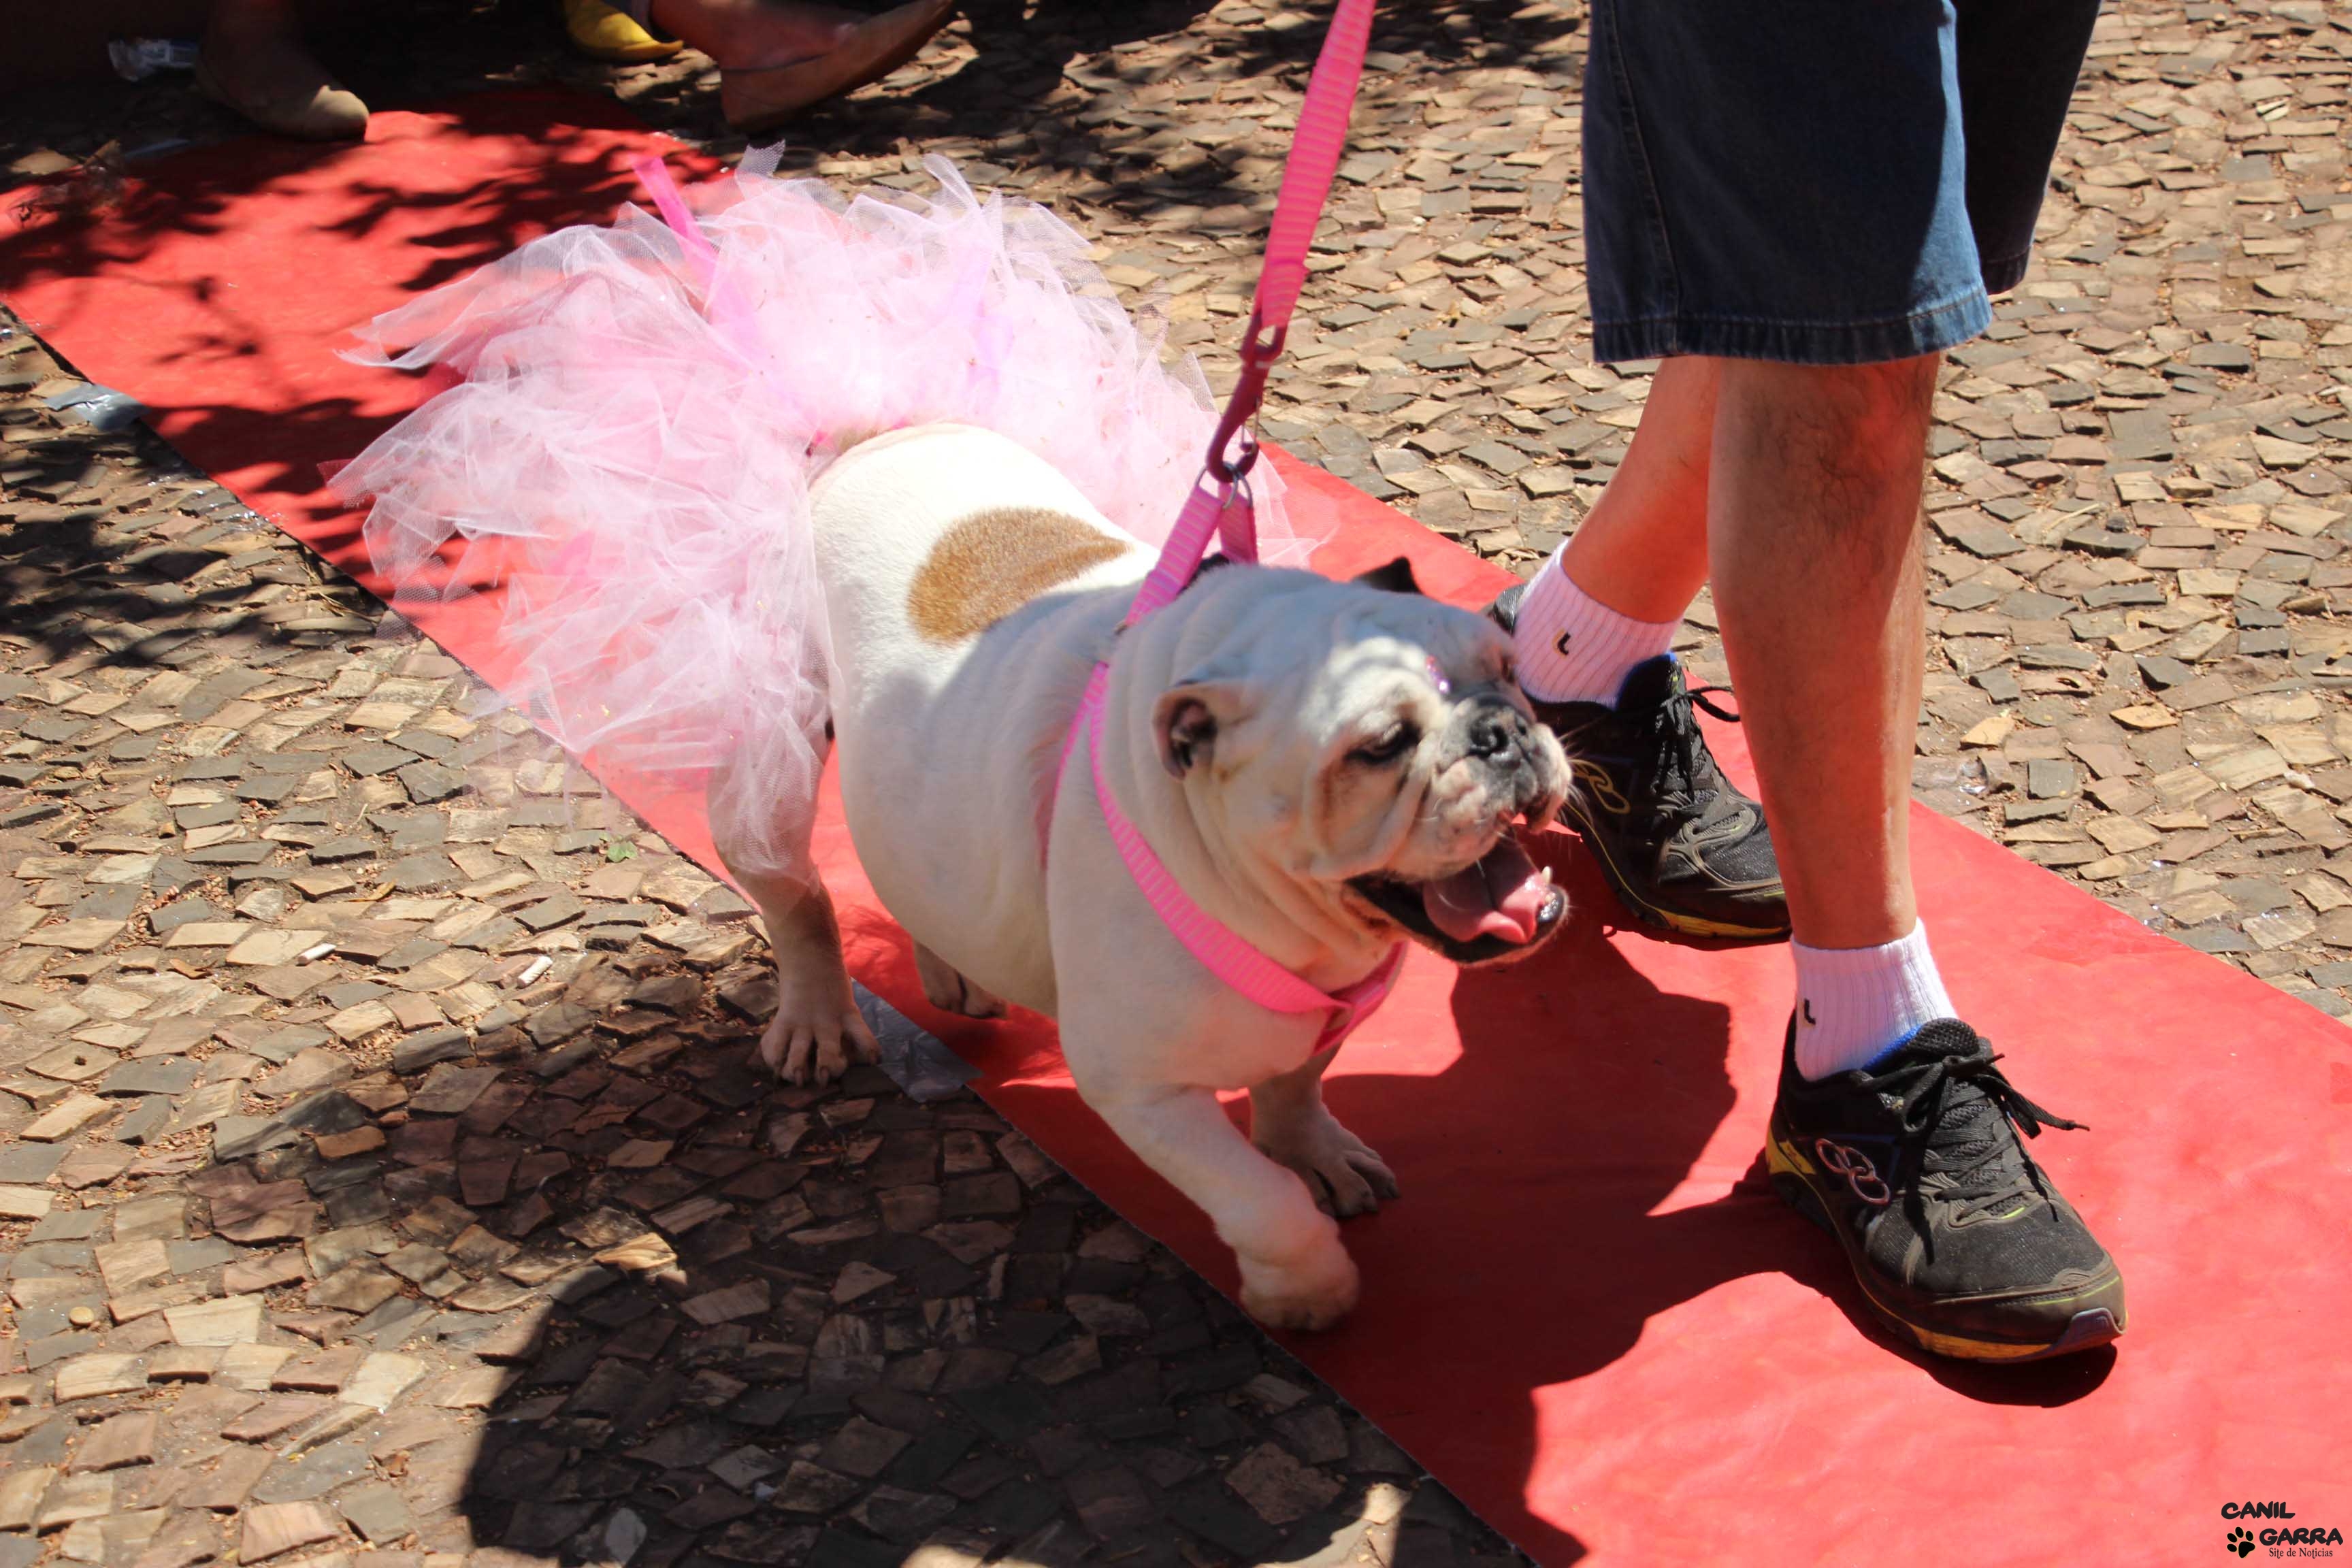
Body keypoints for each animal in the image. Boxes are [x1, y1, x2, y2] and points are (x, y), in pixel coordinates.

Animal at [715, 423, 1573, 1329]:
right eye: (1380, 746)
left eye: (1509, 670)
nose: (1501, 733)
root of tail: (877, 433)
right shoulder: (1141, 1089)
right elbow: (1257, 1196)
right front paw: (1306, 1289)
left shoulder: (1325, 1012)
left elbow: (1297, 1086)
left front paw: (1310, 1151)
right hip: (770, 747)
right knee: (795, 897)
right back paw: (816, 1016)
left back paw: (952, 968)